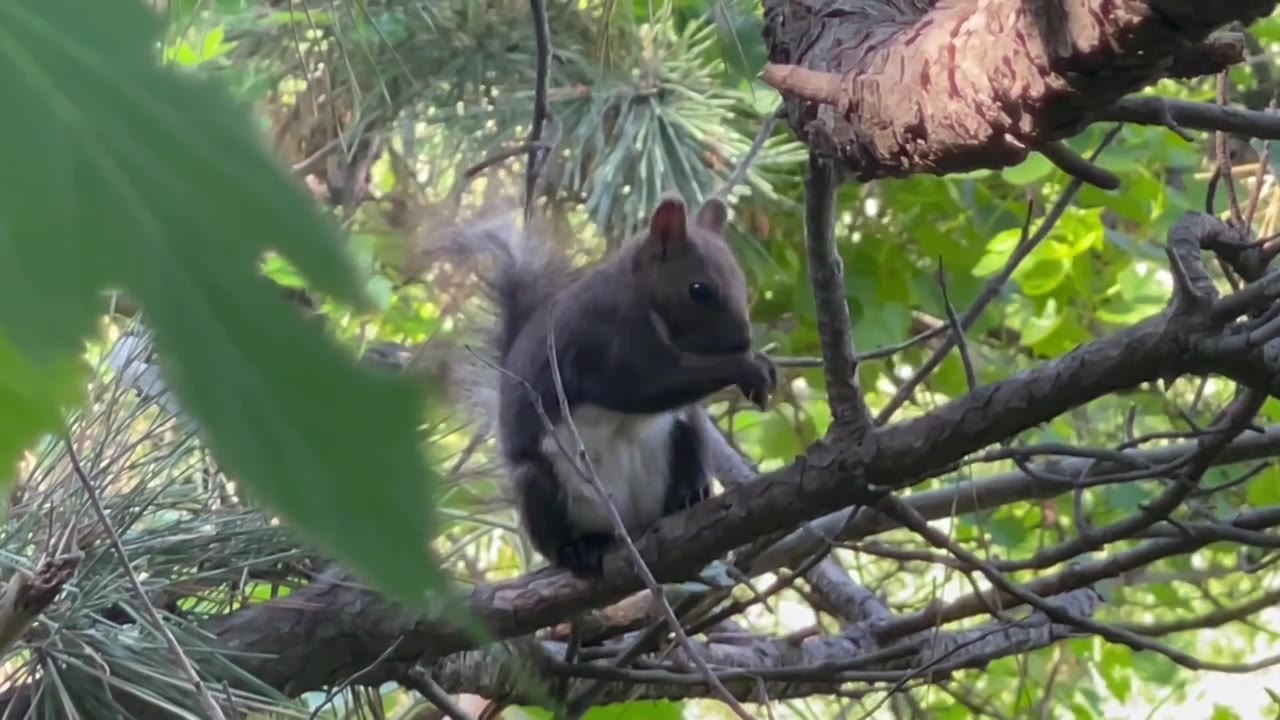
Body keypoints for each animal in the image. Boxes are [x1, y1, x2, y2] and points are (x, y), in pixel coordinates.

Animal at [440, 190, 778, 576]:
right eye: (698, 290)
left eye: (741, 280)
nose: (743, 341)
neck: (641, 296)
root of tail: (629, 524)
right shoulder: (602, 344)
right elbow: (640, 386)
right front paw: (747, 369)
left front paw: (760, 365)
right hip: (537, 483)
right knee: (552, 526)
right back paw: (578, 549)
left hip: (682, 439)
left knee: (687, 434)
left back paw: (688, 497)